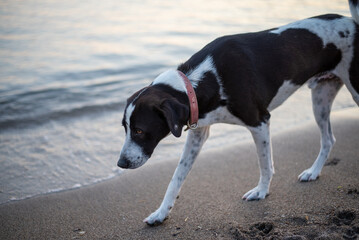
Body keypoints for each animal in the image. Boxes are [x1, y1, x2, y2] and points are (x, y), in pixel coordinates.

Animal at [118, 0, 359, 225]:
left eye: (139, 130)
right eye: (125, 129)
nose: (121, 163)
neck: (204, 79)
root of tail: (353, 23)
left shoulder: (260, 122)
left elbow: (265, 164)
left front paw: (261, 191)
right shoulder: (198, 132)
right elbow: (176, 178)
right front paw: (161, 213)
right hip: (321, 97)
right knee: (328, 139)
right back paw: (313, 172)